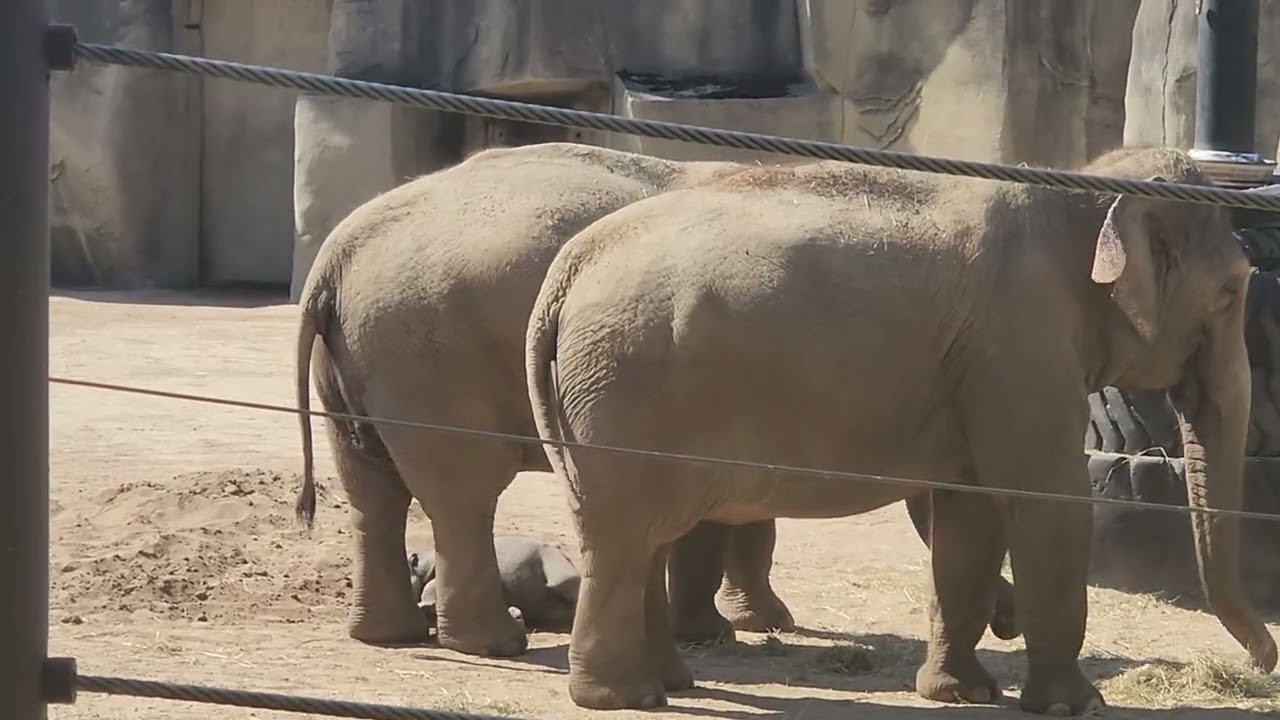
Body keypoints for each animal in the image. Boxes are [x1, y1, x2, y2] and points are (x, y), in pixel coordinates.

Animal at [293, 141, 798, 657]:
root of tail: (336, 255)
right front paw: (724, 631)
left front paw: (756, 622)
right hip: (427, 362)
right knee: (463, 492)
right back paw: (496, 643)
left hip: (351, 360)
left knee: (371, 485)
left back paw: (387, 634)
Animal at [525, 146, 1277, 713]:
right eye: (1232, 293)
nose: (1264, 663)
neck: (1081, 188)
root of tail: (566, 272)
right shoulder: (1020, 347)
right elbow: (1049, 501)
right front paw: (1078, 706)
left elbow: (970, 514)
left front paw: (961, 693)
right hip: (623, 389)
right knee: (625, 536)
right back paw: (622, 697)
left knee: (636, 536)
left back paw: (666, 685)